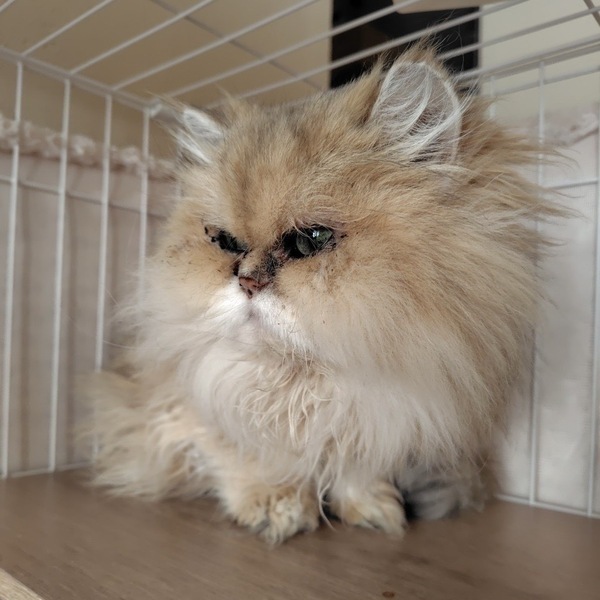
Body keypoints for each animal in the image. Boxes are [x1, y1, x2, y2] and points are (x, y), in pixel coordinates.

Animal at [86, 48, 559, 544]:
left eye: (311, 239)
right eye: (226, 243)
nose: (247, 281)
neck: (298, 382)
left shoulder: (380, 419)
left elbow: (357, 469)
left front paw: (372, 510)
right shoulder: (193, 406)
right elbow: (246, 457)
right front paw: (276, 506)